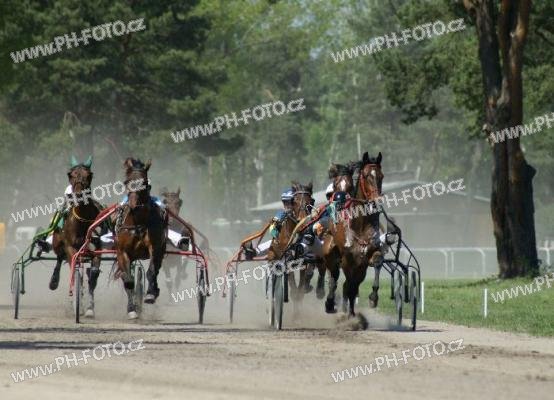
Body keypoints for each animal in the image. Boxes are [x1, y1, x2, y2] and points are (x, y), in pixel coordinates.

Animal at [50, 158, 103, 318]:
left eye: (89, 175)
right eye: (70, 174)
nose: (79, 195)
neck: (82, 221)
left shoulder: (96, 248)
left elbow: (93, 274)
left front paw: (90, 308)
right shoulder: (70, 247)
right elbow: (74, 270)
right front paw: (76, 303)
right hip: (57, 244)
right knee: (60, 259)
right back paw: (54, 281)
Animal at [114, 158, 167, 319]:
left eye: (144, 182)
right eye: (126, 182)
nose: (133, 205)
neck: (138, 222)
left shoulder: (155, 247)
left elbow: (151, 271)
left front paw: (150, 294)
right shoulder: (122, 252)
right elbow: (128, 281)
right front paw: (132, 309)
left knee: (156, 270)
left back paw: (154, 291)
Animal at [322, 152, 384, 316]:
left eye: (381, 176)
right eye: (366, 176)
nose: (377, 200)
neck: (360, 225)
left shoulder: (367, 257)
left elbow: (377, 262)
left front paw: (373, 297)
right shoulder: (347, 259)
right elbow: (348, 284)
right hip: (331, 254)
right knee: (334, 279)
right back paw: (330, 303)